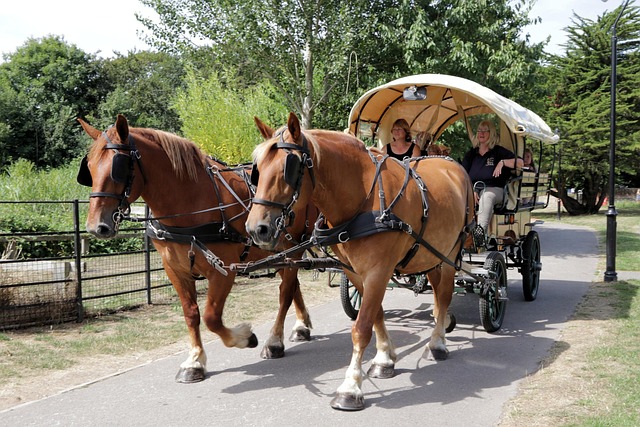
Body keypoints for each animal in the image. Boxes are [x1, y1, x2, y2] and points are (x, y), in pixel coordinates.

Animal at [77, 114, 318, 383]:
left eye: (117, 168)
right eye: (89, 168)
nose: (96, 227)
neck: (191, 201)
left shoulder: (223, 271)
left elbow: (212, 317)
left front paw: (244, 337)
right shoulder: (175, 269)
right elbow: (191, 314)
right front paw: (194, 361)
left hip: (293, 246)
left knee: (285, 291)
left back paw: (275, 341)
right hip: (279, 251)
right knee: (292, 286)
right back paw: (301, 326)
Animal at [246, 113, 475, 411]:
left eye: (289, 167)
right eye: (257, 168)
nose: (256, 229)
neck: (364, 198)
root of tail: (449, 163)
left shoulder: (379, 270)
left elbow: (361, 327)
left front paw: (351, 387)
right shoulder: (354, 271)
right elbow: (375, 313)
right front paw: (384, 358)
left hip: (450, 251)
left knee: (445, 294)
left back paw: (438, 344)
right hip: (431, 254)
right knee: (437, 293)